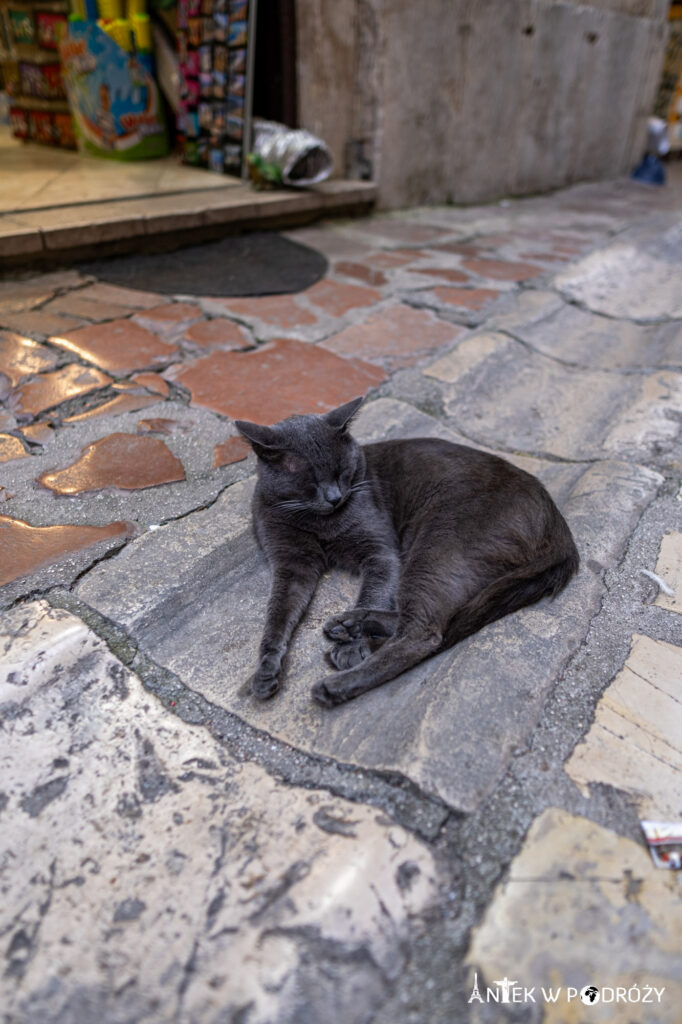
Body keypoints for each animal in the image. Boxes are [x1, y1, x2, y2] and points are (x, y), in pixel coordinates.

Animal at [236, 395, 577, 708]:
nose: (335, 497)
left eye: (342, 471)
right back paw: (350, 626)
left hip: (437, 547)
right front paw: (265, 671)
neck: (320, 522)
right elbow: (278, 615)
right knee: (424, 620)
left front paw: (352, 649)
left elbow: (374, 591)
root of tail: (559, 525)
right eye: (310, 481)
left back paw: (339, 677)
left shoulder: (381, 552)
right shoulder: (291, 562)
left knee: (423, 632)